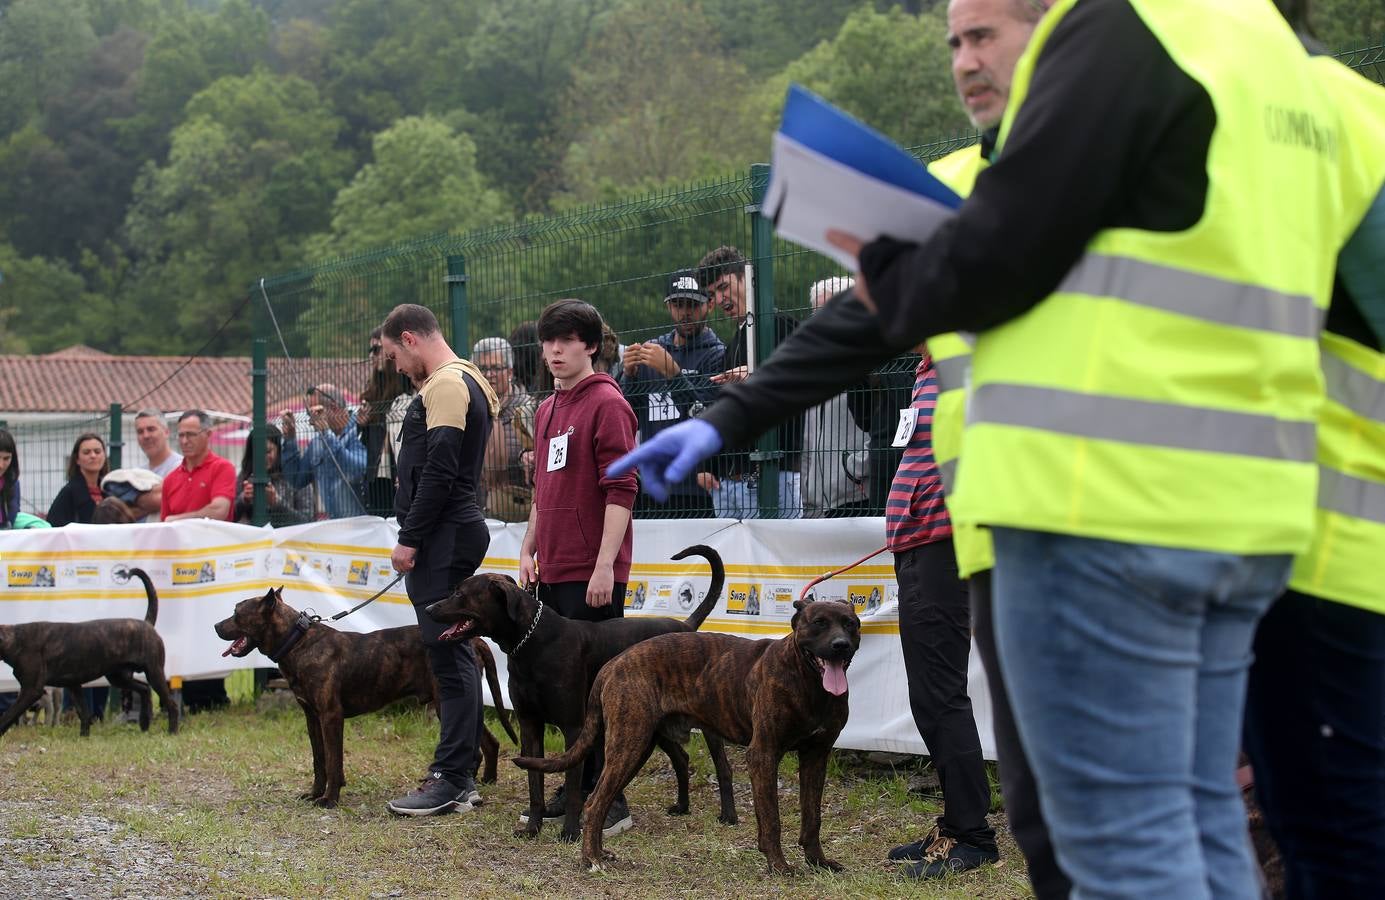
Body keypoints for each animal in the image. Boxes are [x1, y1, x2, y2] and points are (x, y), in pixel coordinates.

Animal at [0, 567, 178, 736]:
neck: (15, 639)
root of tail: (147, 623)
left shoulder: (31, 690)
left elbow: (8, 715)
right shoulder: (73, 685)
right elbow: (84, 714)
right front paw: (83, 736)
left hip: (153, 672)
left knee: (171, 703)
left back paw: (172, 731)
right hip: (119, 677)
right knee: (144, 689)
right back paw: (144, 723)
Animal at [213, 584, 517, 803]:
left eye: (237, 613)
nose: (215, 626)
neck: (297, 642)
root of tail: (475, 639)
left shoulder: (331, 717)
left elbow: (333, 760)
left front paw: (329, 799)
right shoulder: (312, 718)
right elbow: (319, 760)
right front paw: (314, 793)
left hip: (446, 702)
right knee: (489, 742)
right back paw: (484, 780)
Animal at [426, 540, 742, 841]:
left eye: (460, 593)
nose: (429, 609)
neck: (532, 641)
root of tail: (686, 626)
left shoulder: (574, 728)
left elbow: (574, 787)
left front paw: (569, 832)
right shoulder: (530, 725)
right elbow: (535, 783)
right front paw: (533, 828)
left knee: (722, 767)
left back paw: (728, 815)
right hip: (653, 721)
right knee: (681, 758)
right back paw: (683, 806)